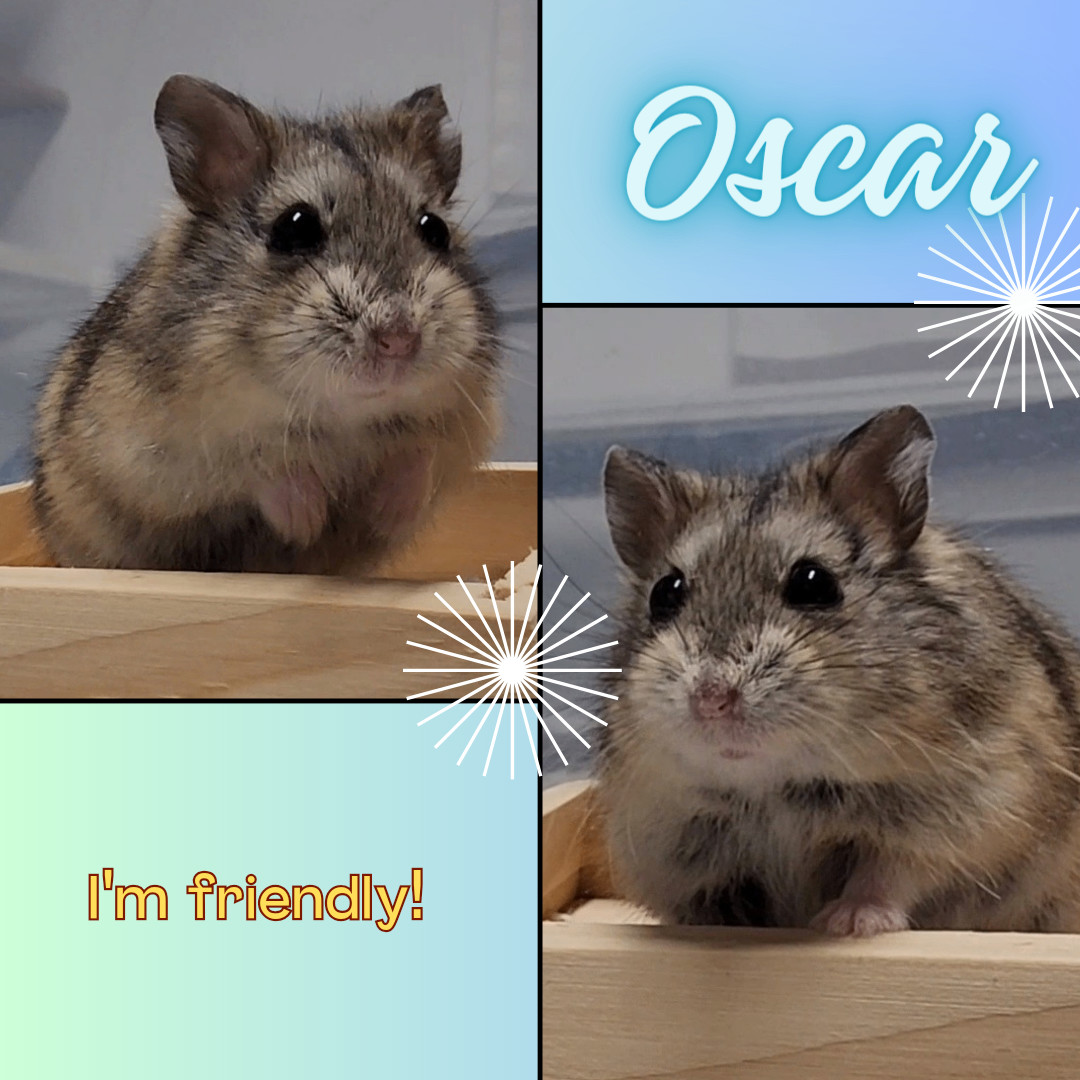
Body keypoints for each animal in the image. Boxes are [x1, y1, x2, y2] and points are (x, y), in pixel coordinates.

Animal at [32, 75, 499, 573]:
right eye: (294, 227)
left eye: (435, 230)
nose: (398, 340)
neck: (343, 419)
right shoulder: (158, 454)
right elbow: (264, 467)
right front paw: (307, 522)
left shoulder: (462, 435)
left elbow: (419, 457)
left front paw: (386, 513)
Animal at [597, 405, 1080, 936]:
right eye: (665, 592)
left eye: (814, 583)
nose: (711, 699)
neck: (774, 787)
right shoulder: (676, 840)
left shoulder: (966, 813)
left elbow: (887, 873)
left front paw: (847, 923)